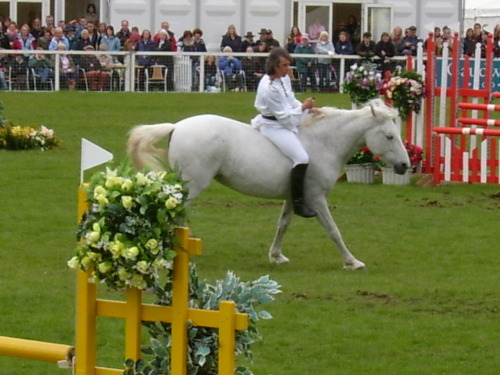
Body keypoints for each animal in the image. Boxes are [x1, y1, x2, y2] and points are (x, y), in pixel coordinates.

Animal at [128, 100, 410, 270]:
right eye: (389, 136)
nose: (404, 166)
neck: (324, 142)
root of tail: (177, 126)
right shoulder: (316, 198)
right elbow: (333, 230)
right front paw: (352, 261)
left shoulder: (294, 197)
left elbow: (283, 224)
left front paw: (276, 256)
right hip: (192, 186)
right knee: (175, 214)